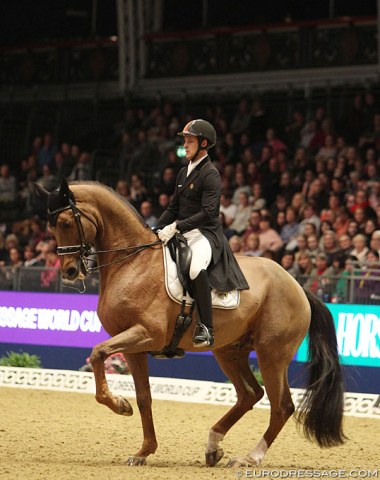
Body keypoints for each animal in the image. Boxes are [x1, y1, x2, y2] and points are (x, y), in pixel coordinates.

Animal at [34, 178, 346, 466]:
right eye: (51, 226)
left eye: (65, 222)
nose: (70, 271)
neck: (132, 262)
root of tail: (297, 286)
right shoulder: (133, 347)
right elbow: (144, 397)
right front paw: (143, 451)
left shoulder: (147, 333)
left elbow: (98, 353)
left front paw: (120, 406)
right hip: (229, 351)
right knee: (250, 394)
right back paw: (213, 446)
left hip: (272, 354)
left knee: (281, 406)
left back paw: (249, 458)